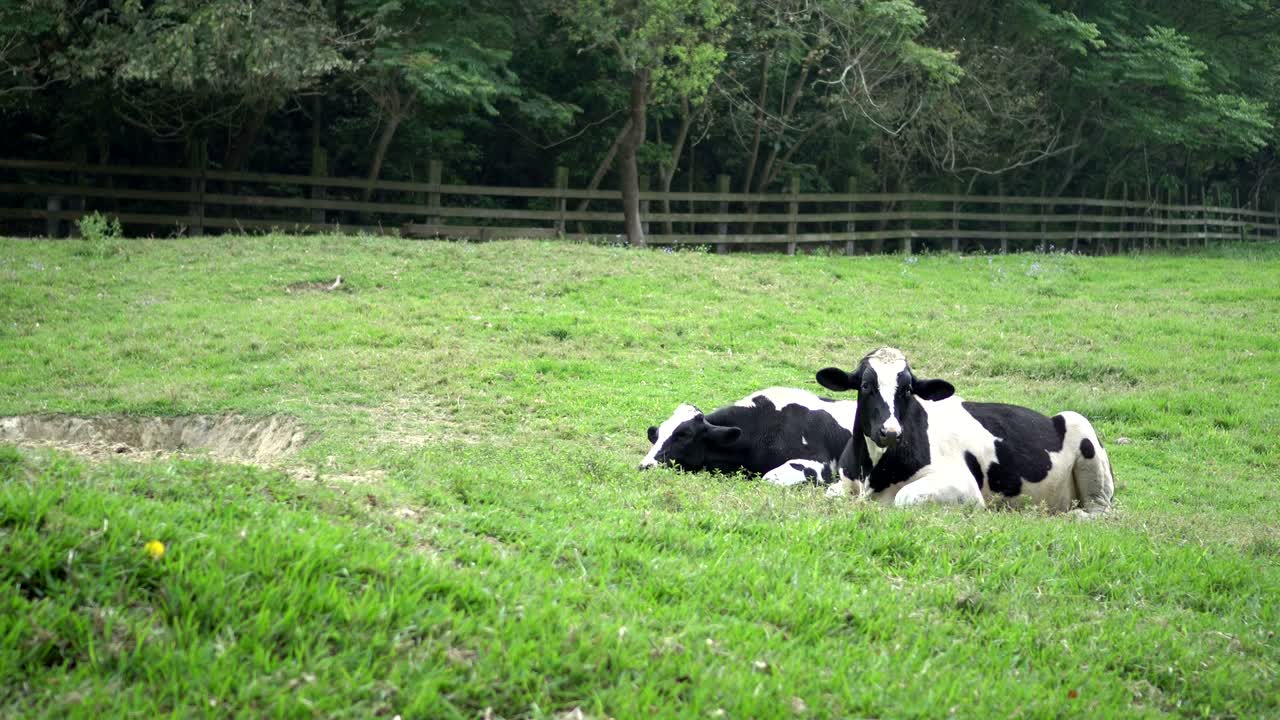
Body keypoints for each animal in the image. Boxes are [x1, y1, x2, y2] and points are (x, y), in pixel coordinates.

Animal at [814, 347, 1114, 516]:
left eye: (908, 389)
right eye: (865, 385)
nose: (890, 432)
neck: (872, 473)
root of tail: (1049, 417)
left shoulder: (965, 487)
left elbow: (903, 497)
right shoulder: (845, 481)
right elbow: (831, 494)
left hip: (1081, 429)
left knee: (1101, 509)